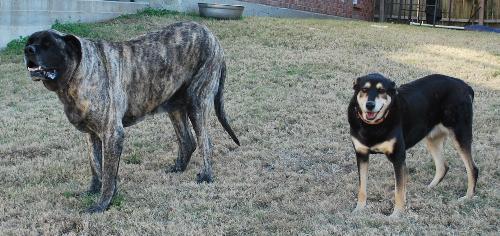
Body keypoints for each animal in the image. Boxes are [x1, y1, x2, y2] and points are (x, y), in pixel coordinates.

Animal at [24, 22, 239, 213]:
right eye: (30, 41)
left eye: (48, 45)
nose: (28, 50)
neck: (77, 73)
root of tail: (213, 37)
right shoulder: (91, 135)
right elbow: (95, 167)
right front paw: (93, 191)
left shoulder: (112, 134)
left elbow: (108, 174)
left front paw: (102, 204)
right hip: (175, 105)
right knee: (188, 140)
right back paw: (178, 168)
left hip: (197, 102)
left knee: (205, 141)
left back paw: (206, 176)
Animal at [348, 73, 476, 218]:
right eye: (364, 89)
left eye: (382, 91)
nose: (370, 105)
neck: (373, 126)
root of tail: (465, 85)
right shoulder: (362, 155)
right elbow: (362, 188)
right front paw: (359, 209)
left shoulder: (398, 157)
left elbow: (398, 190)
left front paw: (396, 215)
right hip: (432, 139)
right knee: (443, 166)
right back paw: (429, 188)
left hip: (460, 135)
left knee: (473, 169)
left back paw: (467, 197)